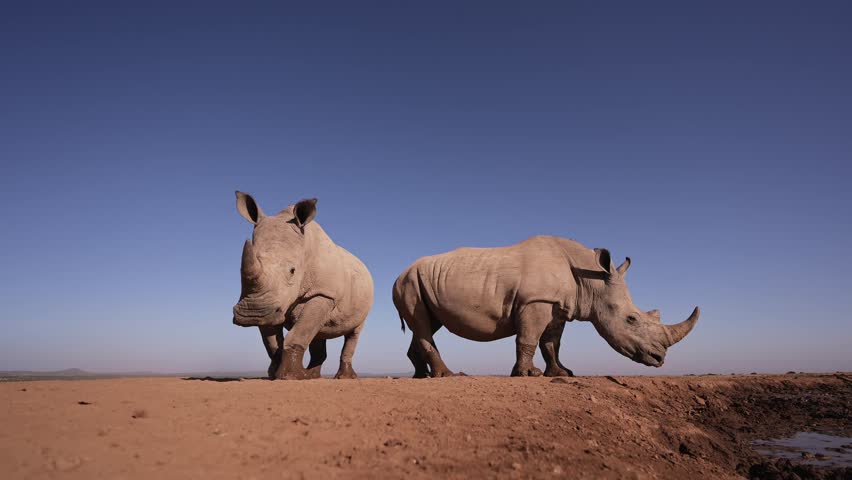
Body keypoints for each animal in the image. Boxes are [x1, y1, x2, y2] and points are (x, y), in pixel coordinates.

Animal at [232, 192, 373, 380]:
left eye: (293, 271)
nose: (251, 313)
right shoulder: (271, 303)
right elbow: (272, 342)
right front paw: (275, 374)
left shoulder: (324, 293)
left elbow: (298, 333)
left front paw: (289, 376)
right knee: (319, 333)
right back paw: (311, 375)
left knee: (353, 332)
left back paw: (343, 377)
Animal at [392, 235, 699, 377]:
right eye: (631, 319)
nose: (659, 359)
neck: (591, 281)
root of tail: (399, 273)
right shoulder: (535, 301)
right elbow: (528, 339)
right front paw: (528, 375)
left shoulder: (558, 306)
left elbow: (552, 343)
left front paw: (562, 373)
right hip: (409, 284)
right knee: (423, 324)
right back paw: (447, 376)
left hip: (420, 281)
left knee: (427, 324)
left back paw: (421, 376)